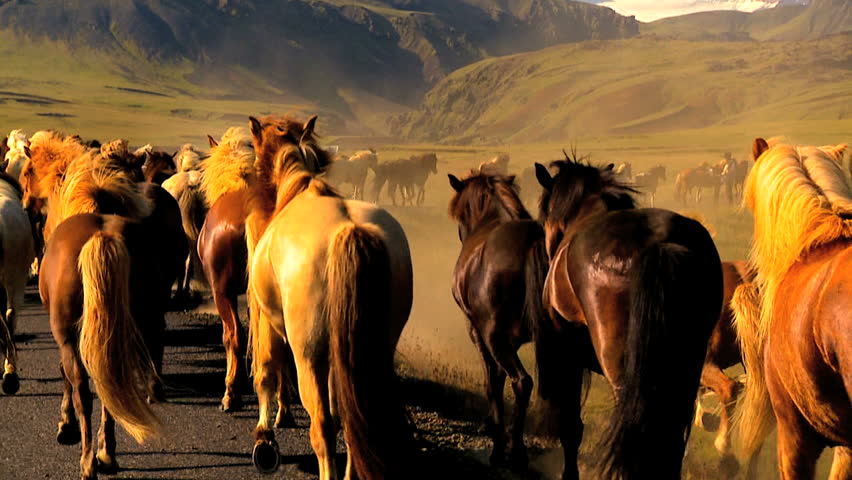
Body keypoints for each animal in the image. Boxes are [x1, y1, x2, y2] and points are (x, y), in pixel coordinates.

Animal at [39, 142, 184, 479]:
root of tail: (101, 236)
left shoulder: (65, 338)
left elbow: (66, 377)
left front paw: (65, 426)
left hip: (72, 338)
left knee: (84, 390)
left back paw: (88, 461)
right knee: (113, 386)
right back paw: (107, 453)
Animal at [246, 114, 413, 478]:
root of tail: (349, 229)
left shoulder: (269, 322)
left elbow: (266, 371)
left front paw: (264, 440)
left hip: (309, 354)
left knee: (321, 425)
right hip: (367, 349)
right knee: (352, 421)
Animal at [447, 172, 547, 468]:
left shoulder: (479, 331)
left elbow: (492, 378)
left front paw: (495, 430)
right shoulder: (508, 340)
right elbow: (500, 376)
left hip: (492, 335)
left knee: (522, 382)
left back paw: (511, 450)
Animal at [533, 154, 722, 479]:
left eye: (545, 212)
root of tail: (662, 243)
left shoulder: (567, 352)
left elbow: (571, 428)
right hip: (685, 368)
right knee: (672, 438)